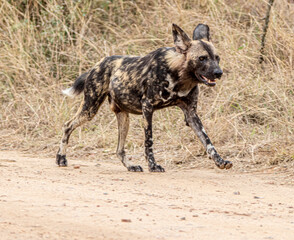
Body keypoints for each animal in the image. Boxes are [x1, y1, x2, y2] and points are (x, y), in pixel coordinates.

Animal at [56, 23, 233, 172]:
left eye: (217, 57)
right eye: (202, 58)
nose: (218, 73)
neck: (180, 76)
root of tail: (97, 64)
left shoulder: (191, 114)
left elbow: (207, 141)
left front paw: (220, 161)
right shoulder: (147, 108)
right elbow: (149, 141)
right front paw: (153, 165)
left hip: (123, 117)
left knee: (119, 150)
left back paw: (131, 166)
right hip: (90, 110)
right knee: (67, 125)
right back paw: (61, 158)